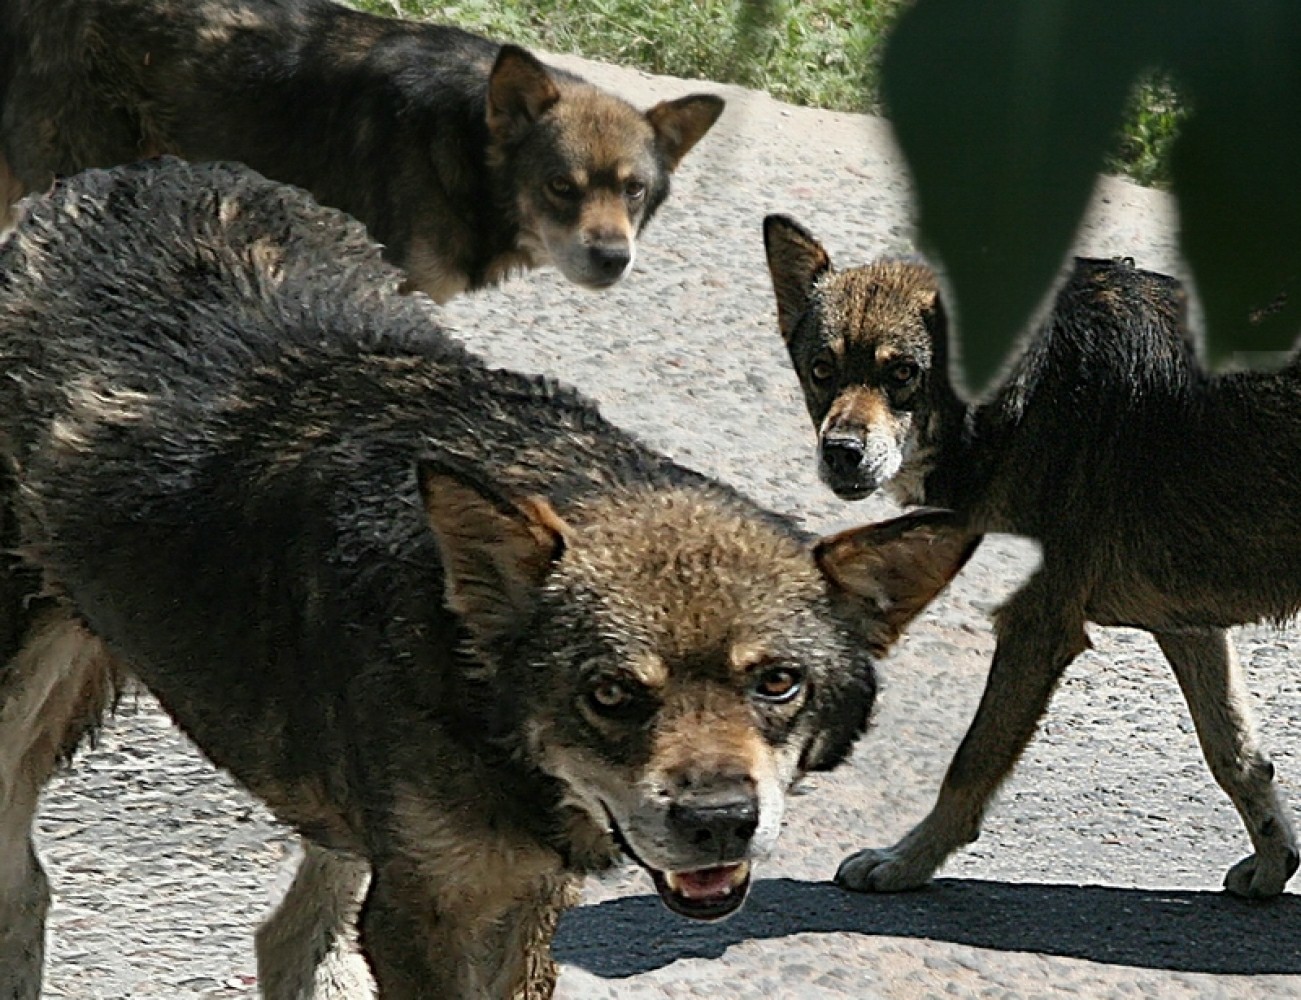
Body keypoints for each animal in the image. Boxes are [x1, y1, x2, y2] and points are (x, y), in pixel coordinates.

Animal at [0, 159, 973, 993]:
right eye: (611, 693)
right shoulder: (427, 913)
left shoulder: (519, 891)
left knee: (287, 937)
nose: (720, 821)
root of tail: (118, 175)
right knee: (27, 888)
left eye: (776, 683)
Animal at [759, 214, 1301, 899]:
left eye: (903, 373)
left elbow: (969, 764)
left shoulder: (1035, 629)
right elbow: (1236, 755)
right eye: (823, 369)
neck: (1023, 390)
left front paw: (907, 863)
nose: (841, 452)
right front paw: (1274, 859)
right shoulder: (1188, 627)